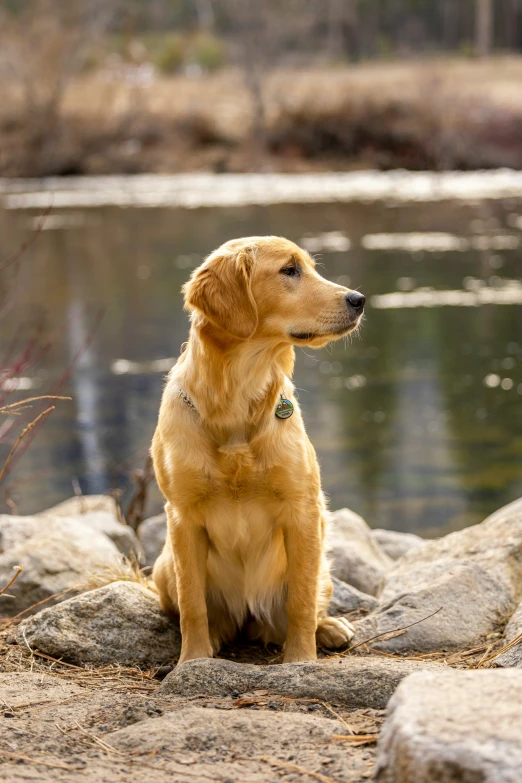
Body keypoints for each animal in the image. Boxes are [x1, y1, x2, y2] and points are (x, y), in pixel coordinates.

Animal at [149, 236, 362, 664]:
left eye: (311, 268)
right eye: (289, 270)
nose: (359, 299)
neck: (235, 406)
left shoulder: (303, 510)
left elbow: (301, 600)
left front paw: (301, 660)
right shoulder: (182, 517)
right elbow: (192, 603)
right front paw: (192, 660)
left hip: (324, 559)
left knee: (312, 601)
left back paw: (330, 628)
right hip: (163, 566)